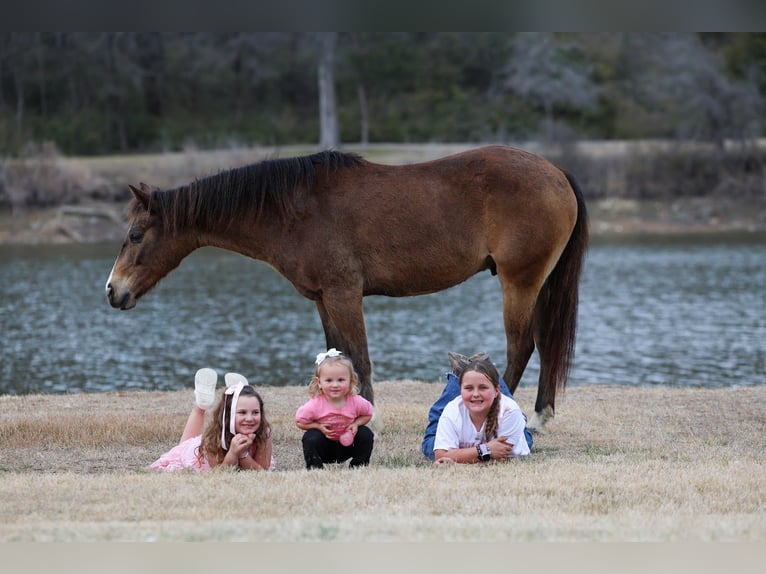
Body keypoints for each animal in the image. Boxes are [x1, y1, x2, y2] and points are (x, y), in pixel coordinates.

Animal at [105, 145, 588, 431]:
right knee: (546, 343)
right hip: (539, 284)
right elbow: (336, 356)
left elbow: (360, 360)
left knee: (521, 346)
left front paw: (364, 420)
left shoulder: (343, 294)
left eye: (135, 235)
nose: (113, 291)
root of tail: (556, 171)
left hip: (519, 281)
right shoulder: (323, 299)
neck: (295, 209)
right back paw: (540, 416)